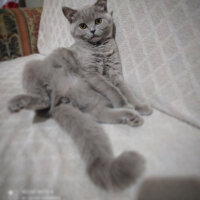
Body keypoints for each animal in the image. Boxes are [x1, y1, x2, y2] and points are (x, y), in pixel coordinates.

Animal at [7, 0, 152, 191]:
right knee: (44, 101)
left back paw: (131, 118)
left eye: (98, 21)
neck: (99, 49)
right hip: (32, 67)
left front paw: (139, 106)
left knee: (99, 115)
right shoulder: (93, 74)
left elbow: (126, 91)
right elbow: (113, 90)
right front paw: (125, 103)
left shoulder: (115, 73)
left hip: (91, 101)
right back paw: (16, 103)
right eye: (82, 25)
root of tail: (61, 98)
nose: (92, 30)